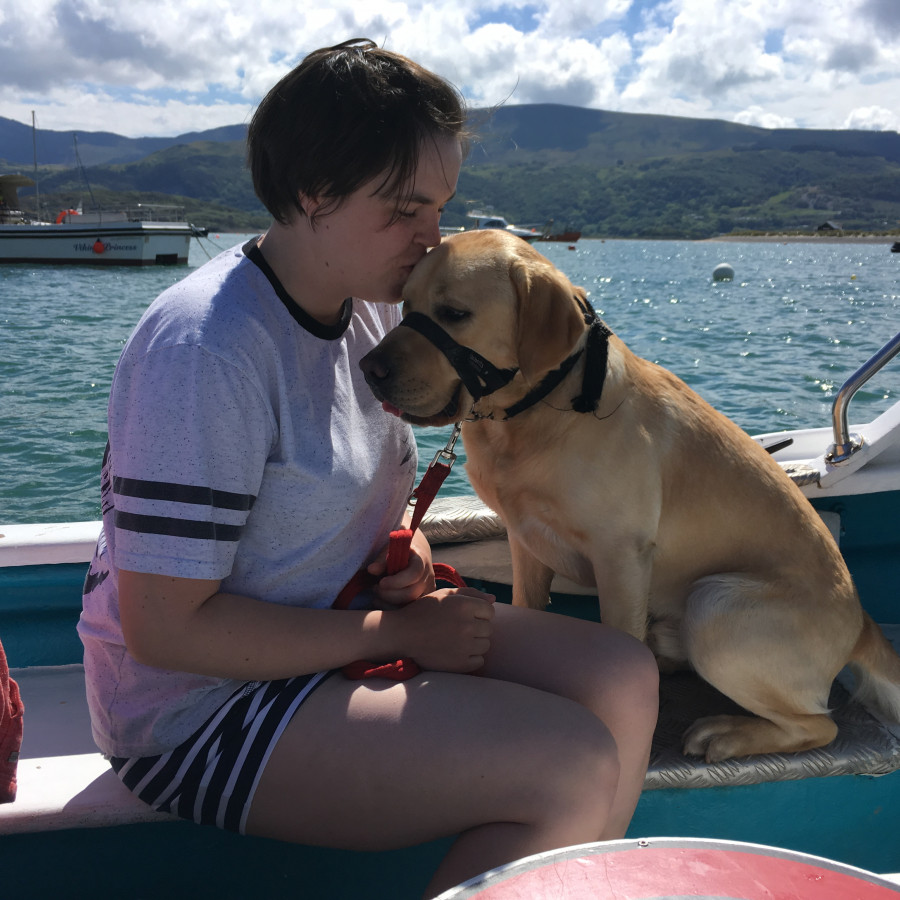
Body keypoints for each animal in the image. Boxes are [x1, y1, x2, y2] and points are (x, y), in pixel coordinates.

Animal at [362, 227, 900, 760]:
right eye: (405, 304)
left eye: (454, 313)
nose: (369, 368)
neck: (537, 409)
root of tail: (861, 624)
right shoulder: (525, 540)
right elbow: (528, 604)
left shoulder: (620, 554)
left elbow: (618, 639)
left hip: (716, 605)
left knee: (820, 725)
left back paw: (728, 733)